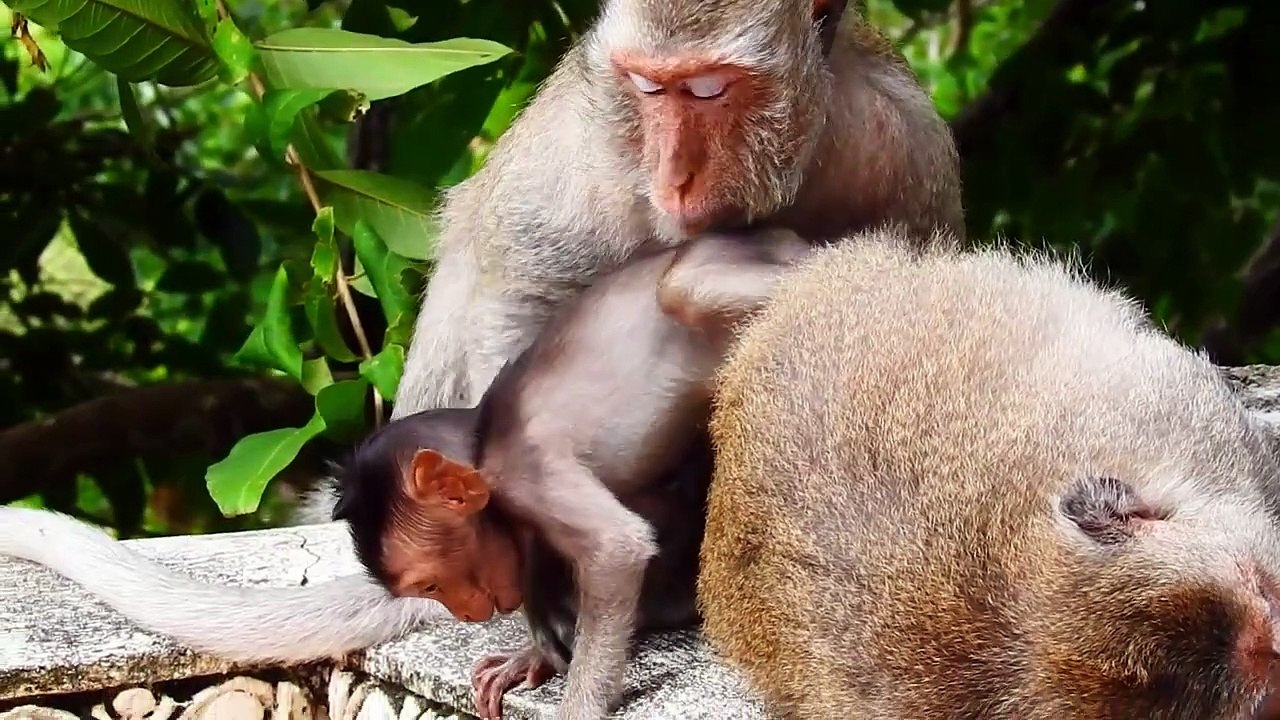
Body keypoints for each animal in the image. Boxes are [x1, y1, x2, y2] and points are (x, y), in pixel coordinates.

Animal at [329, 228, 812, 720]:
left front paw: (577, 701)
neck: (482, 445)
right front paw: (536, 653)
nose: (464, 614)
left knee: (682, 290)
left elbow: (617, 549)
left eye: (430, 584)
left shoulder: (528, 472)